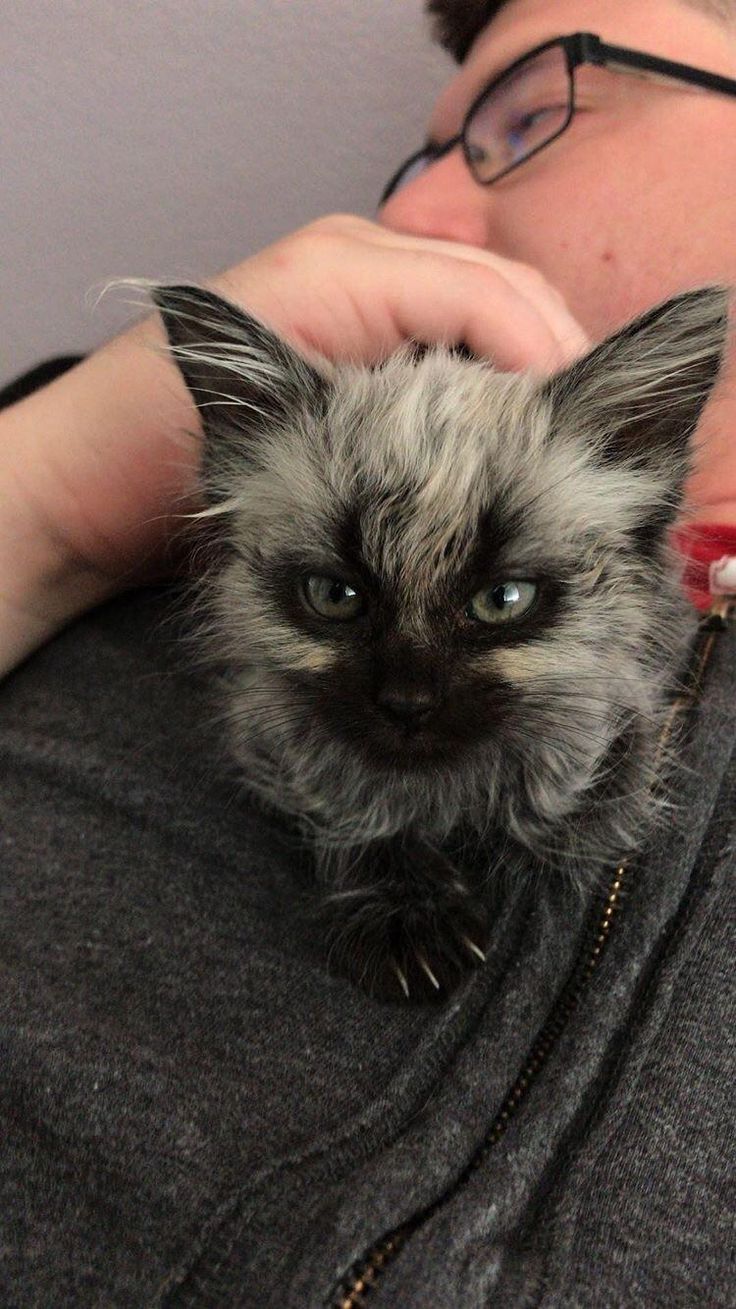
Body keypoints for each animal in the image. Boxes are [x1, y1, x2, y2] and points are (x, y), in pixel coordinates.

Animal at [151, 284, 722, 1000]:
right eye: (335, 596)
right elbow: (351, 799)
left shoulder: (633, 688)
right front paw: (408, 913)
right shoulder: (267, 723)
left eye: (504, 600)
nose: (407, 702)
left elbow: (585, 787)